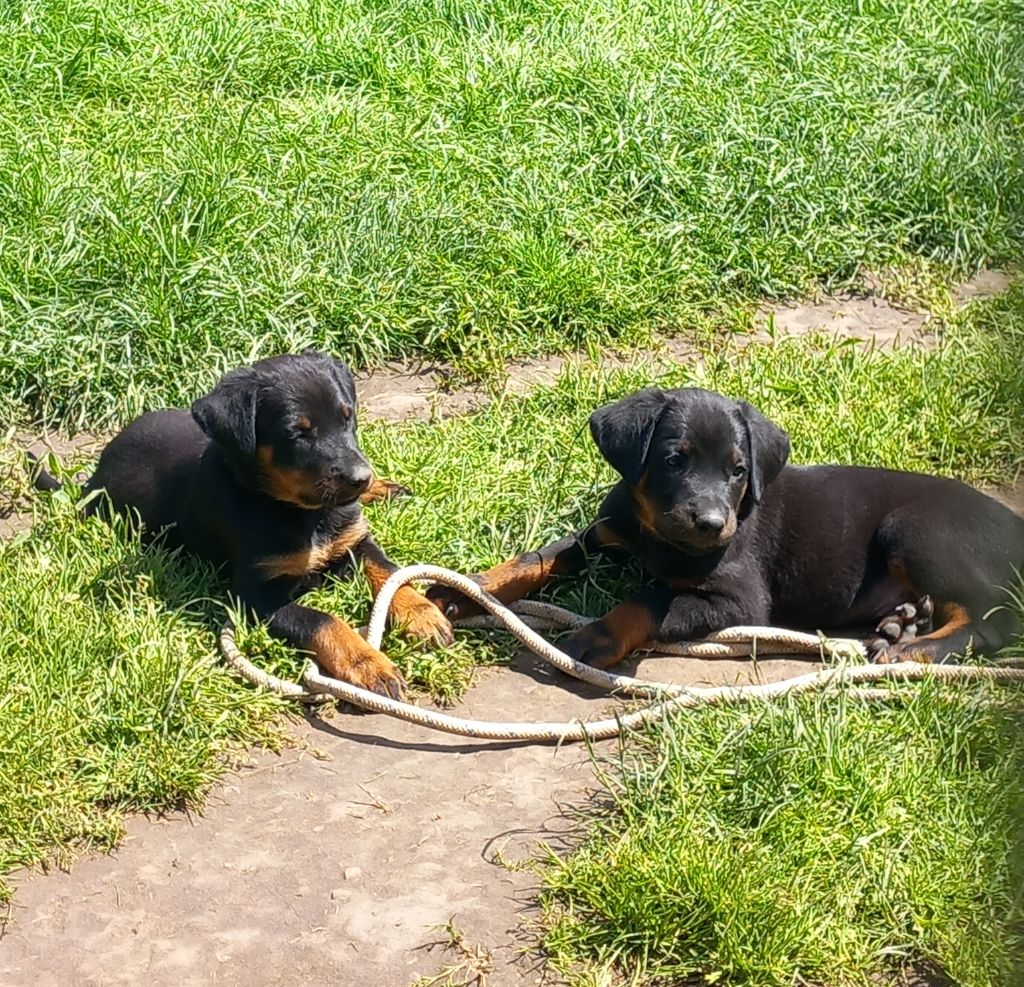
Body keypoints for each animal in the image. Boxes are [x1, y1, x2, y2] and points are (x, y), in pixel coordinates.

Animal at [74, 350, 450, 696]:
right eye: (297, 433)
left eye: (348, 418)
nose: (361, 478)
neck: (303, 514)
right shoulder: (254, 596)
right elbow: (321, 620)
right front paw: (368, 663)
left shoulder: (355, 539)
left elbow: (390, 573)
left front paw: (423, 614)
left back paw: (386, 489)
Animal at [430, 389, 1024, 667]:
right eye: (675, 460)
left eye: (739, 470)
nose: (713, 524)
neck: (655, 536)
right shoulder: (603, 533)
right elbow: (540, 558)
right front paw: (464, 592)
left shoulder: (740, 600)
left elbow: (649, 600)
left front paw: (597, 635)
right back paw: (904, 623)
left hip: (913, 527)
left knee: (990, 621)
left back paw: (907, 650)